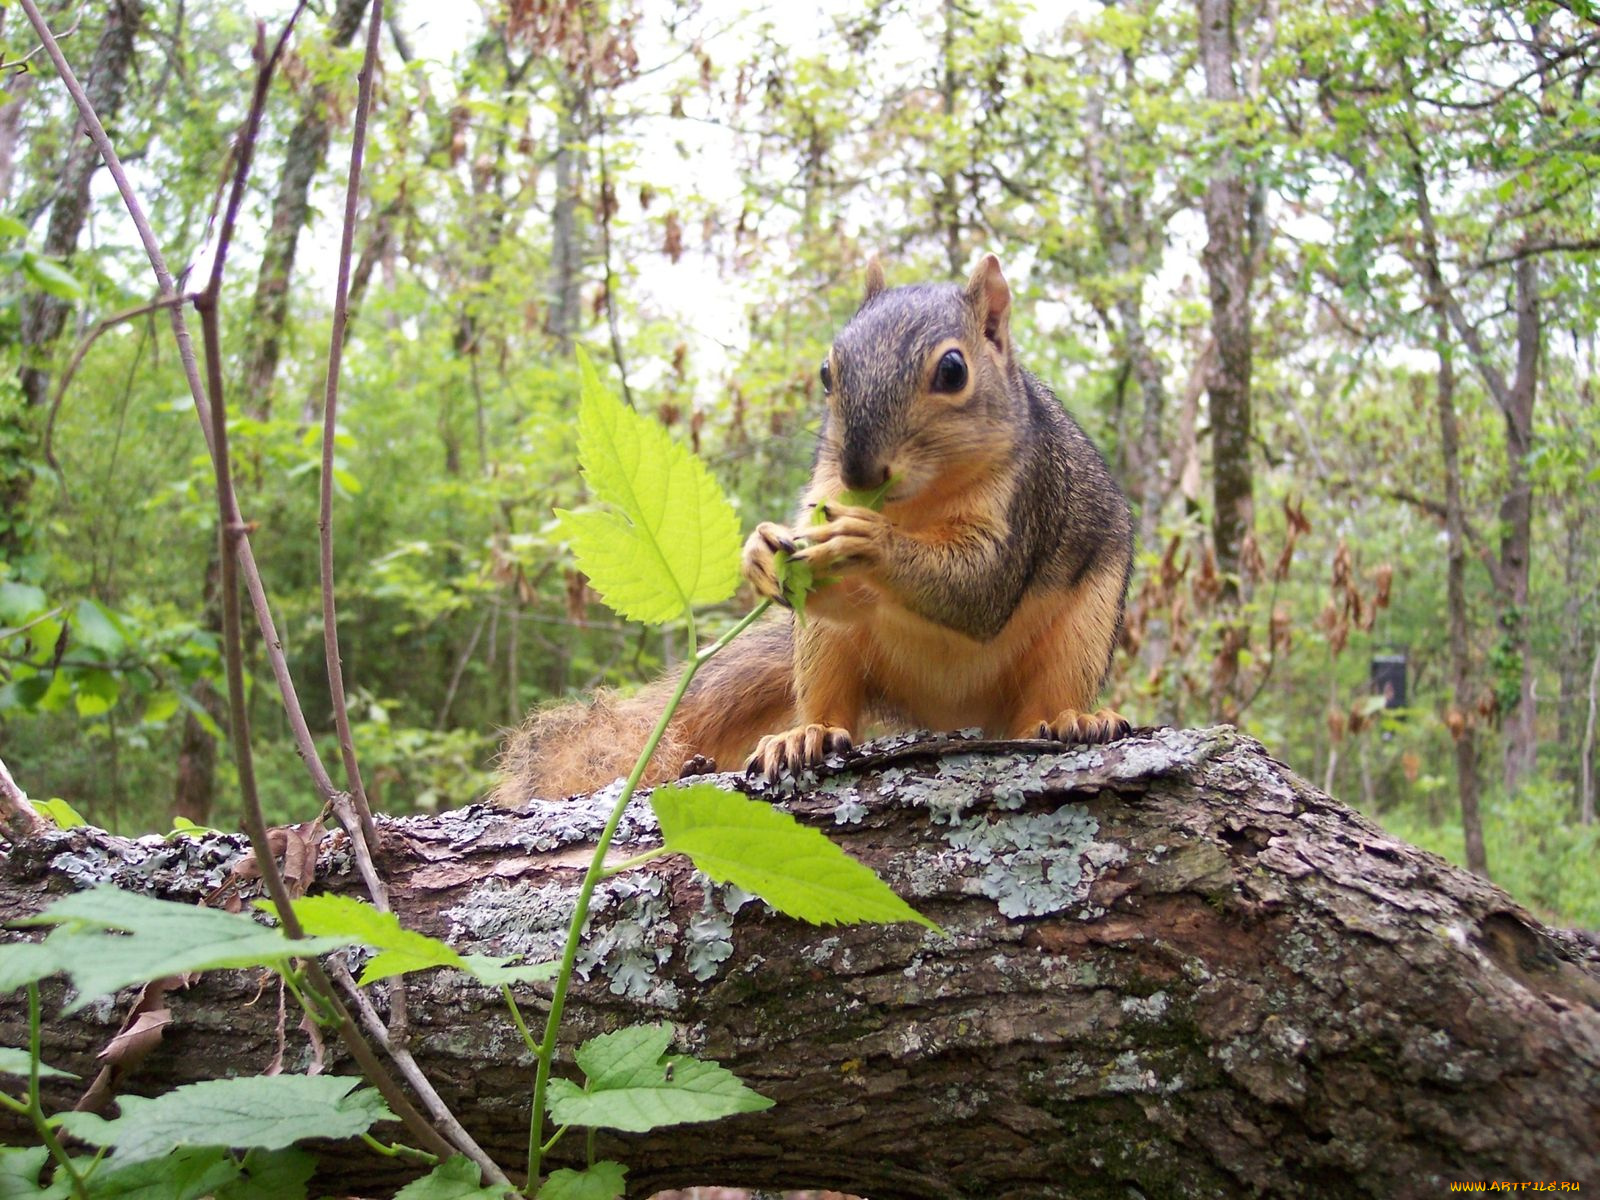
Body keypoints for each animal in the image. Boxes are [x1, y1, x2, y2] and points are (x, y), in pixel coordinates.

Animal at [492, 254, 1132, 803]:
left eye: (954, 370)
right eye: (827, 372)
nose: (860, 472)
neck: (912, 503)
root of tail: (947, 713)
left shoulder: (1026, 500)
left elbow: (981, 586)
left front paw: (871, 542)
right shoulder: (827, 492)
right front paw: (759, 551)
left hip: (1084, 631)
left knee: (1046, 699)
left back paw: (1076, 718)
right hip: (825, 646)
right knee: (831, 697)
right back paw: (806, 735)